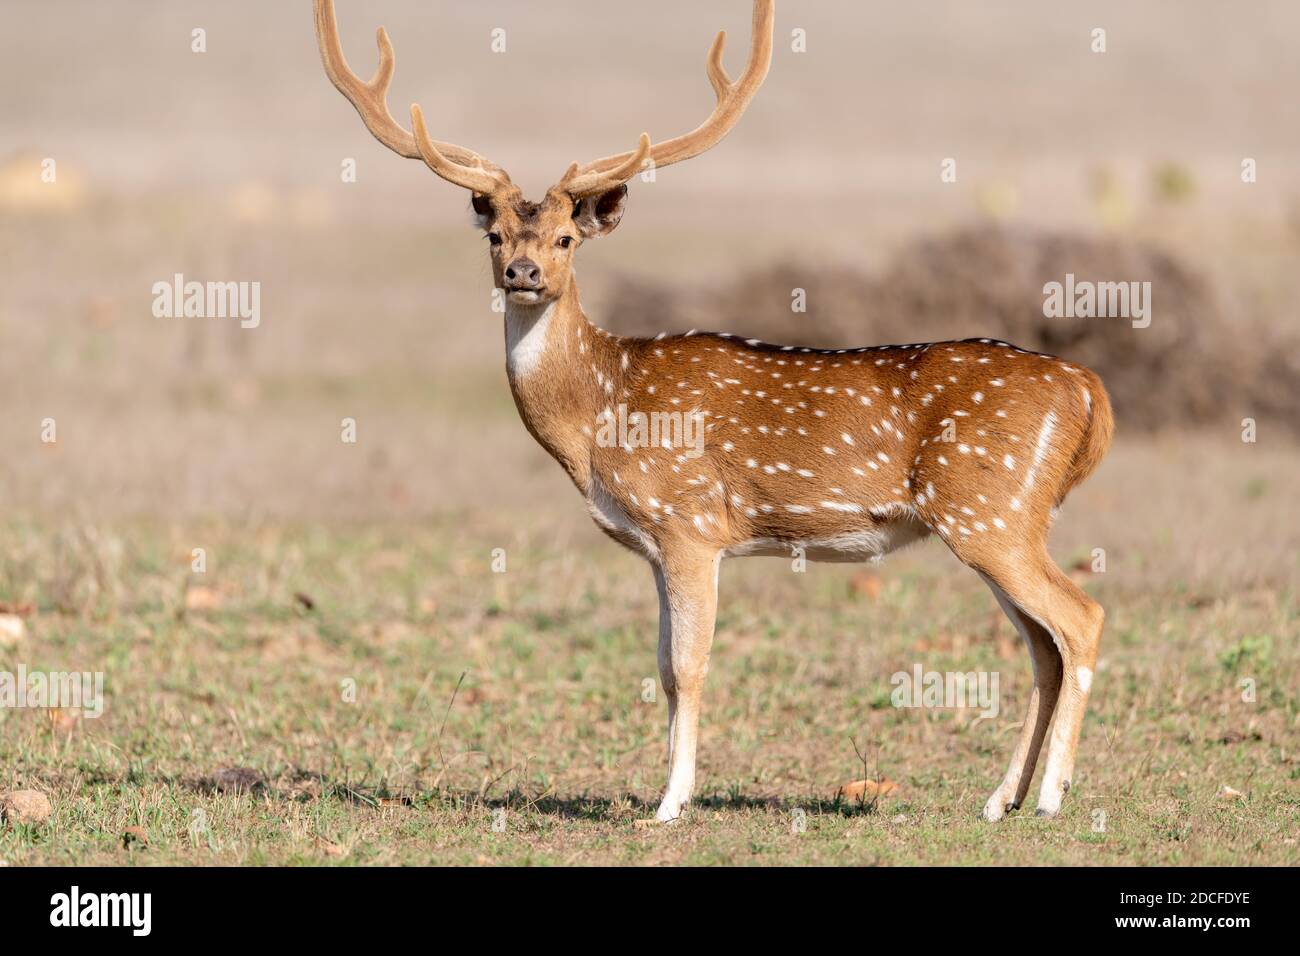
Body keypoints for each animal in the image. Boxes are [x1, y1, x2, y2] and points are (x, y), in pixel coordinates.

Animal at [313, 0, 1113, 823]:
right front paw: (665, 788)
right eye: (497, 235)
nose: (523, 272)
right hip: (1003, 517)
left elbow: (689, 665)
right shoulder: (657, 546)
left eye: (566, 237)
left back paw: (1050, 797)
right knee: (1043, 644)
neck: (600, 417)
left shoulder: (690, 525)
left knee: (1080, 621)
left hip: (990, 508)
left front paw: (669, 804)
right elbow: (664, 668)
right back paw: (999, 799)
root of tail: (1089, 390)